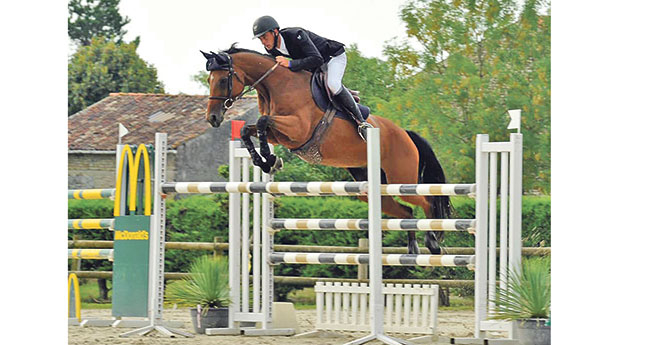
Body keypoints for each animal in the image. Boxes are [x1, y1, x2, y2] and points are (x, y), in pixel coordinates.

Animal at [200, 45, 454, 253]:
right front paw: (266, 161)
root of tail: (405, 133)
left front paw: (269, 159)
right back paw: (413, 247)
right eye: (209, 80)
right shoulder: (282, 135)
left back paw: (433, 241)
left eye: (221, 80)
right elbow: (248, 130)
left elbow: (263, 122)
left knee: (427, 201)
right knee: (407, 213)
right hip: (371, 189)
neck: (277, 86)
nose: (212, 118)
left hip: (401, 179)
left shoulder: (298, 129)